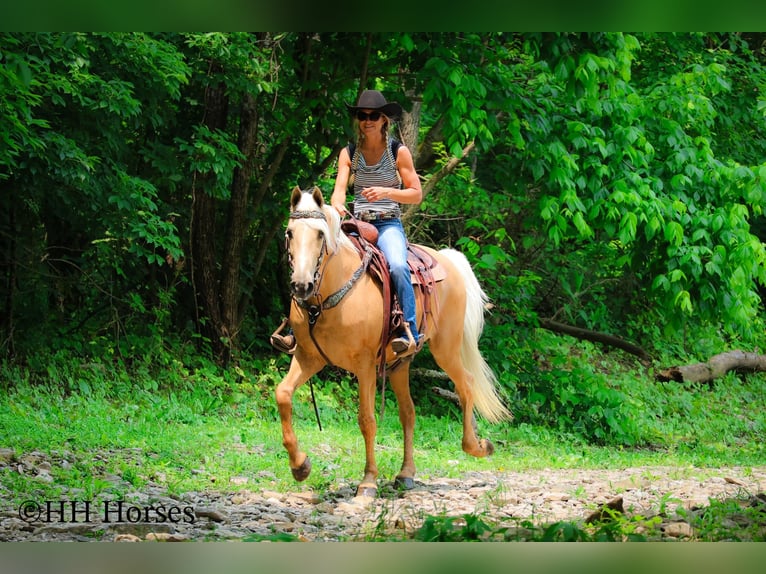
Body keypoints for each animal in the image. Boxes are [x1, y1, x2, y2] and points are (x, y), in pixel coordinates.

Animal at [276, 186, 511, 497]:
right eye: (290, 233)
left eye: (320, 234)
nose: (302, 285)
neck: (327, 298)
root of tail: (448, 259)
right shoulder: (308, 357)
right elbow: (283, 394)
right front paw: (300, 466)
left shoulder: (364, 365)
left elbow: (367, 419)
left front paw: (368, 481)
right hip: (400, 363)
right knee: (408, 413)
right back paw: (406, 474)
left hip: (445, 349)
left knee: (466, 384)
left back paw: (477, 447)